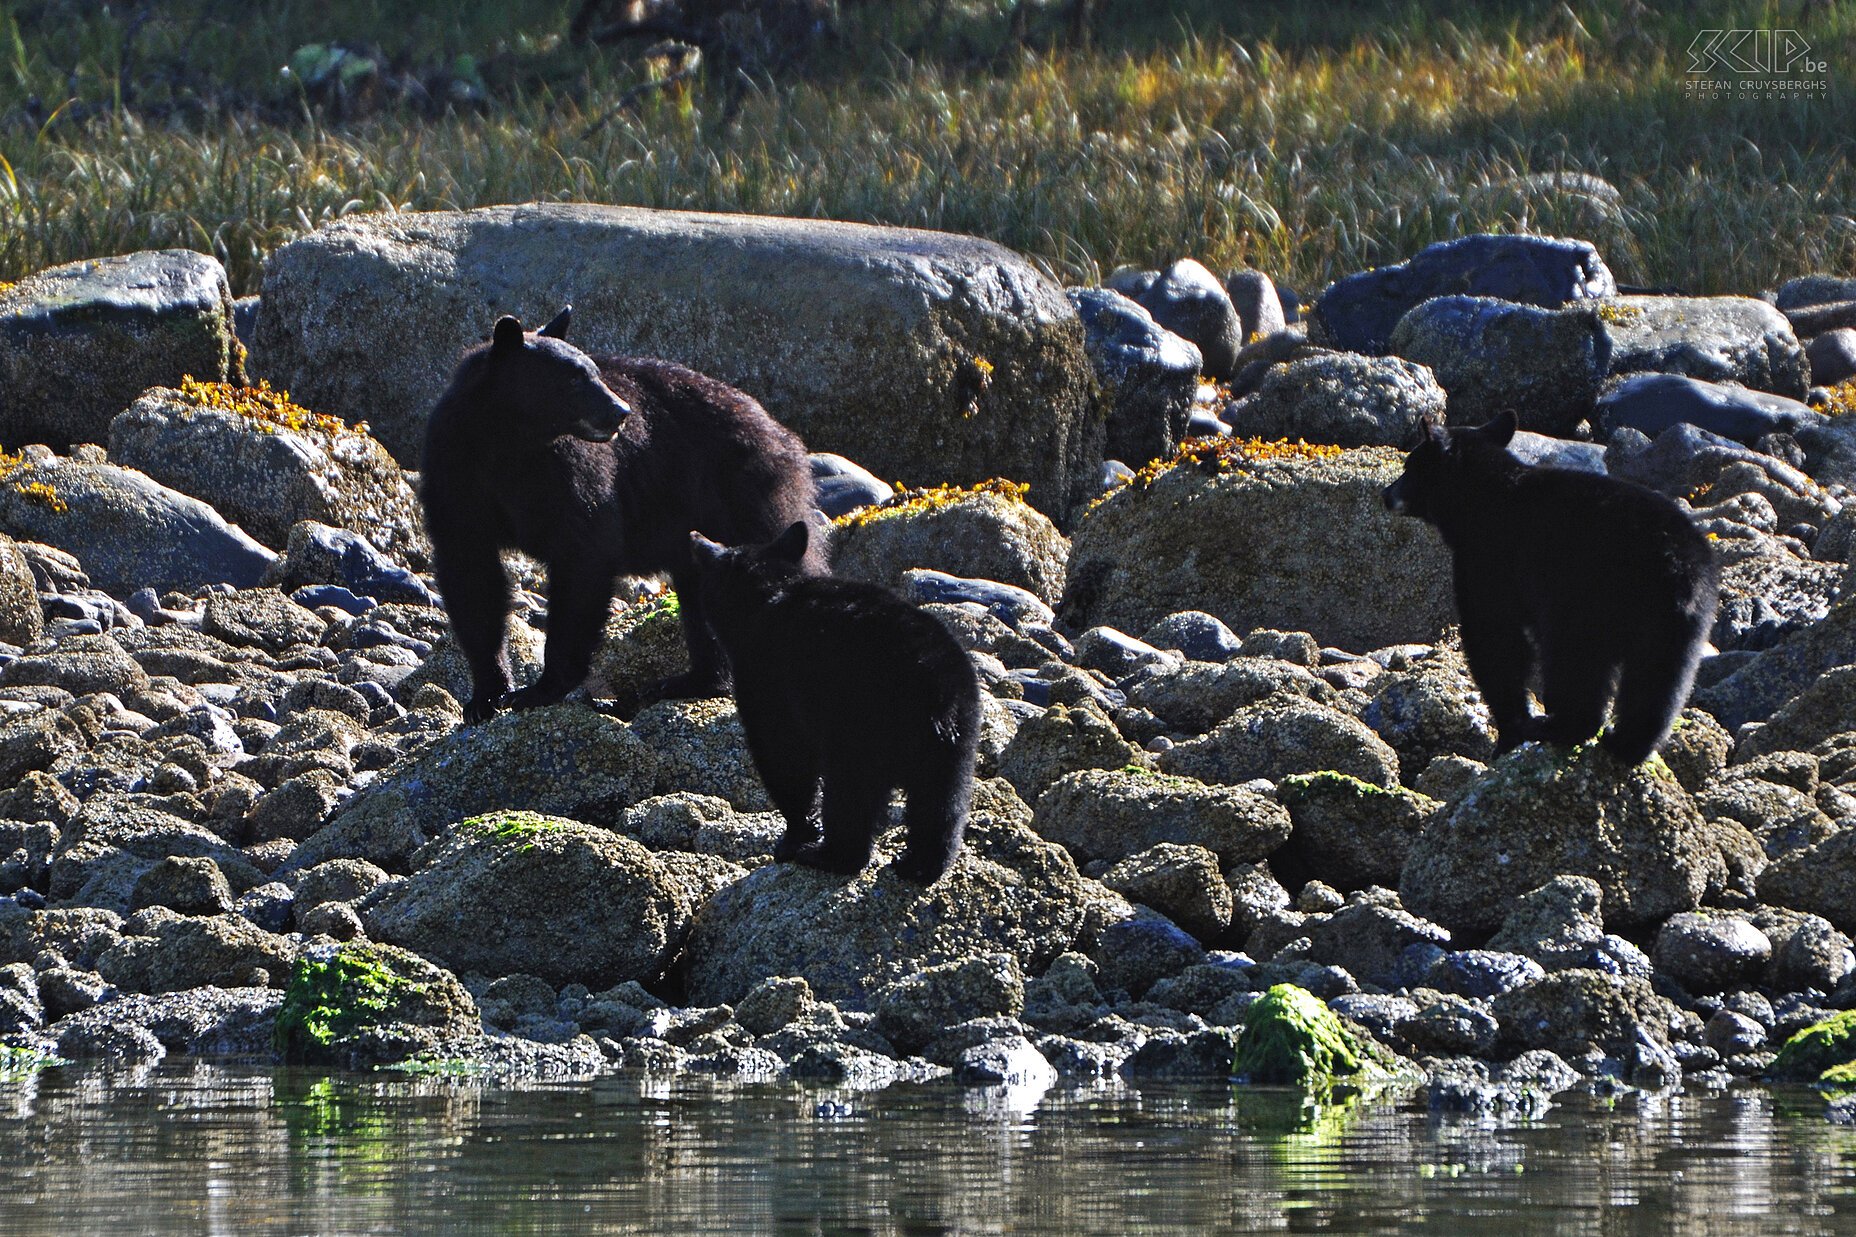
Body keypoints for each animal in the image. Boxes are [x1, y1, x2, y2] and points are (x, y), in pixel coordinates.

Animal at [426, 306, 827, 724]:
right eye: (573, 379)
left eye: (594, 371)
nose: (621, 411)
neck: (509, 447)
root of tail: (778, 431)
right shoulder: (456, 473)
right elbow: (471, 574)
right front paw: (486, 695)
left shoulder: (572, 474)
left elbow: (583, 555)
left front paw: (541, 688)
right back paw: (689, 682)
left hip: (739, 496)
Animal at [690, 516, 987, 876]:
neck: (766, 598)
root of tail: (938, 688)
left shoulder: (766, 681)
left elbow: (783, 755)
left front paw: (794, 837)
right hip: (958, 739)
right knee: (942, 799)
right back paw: (921, 865)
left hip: (861, 723)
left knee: (850, 792)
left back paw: (829, 855)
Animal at [1388, 414, 1714, 761]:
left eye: (1410, 466)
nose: (1385, 493)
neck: (1483, 498)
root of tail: (1678, 565)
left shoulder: (1488, 563)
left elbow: (1495, 637)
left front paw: (1508, 733)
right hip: (1678, 625)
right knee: (1660, 681)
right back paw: (1626, 745)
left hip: (1585, 599)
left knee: (1574, 663)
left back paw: (1558, 728)